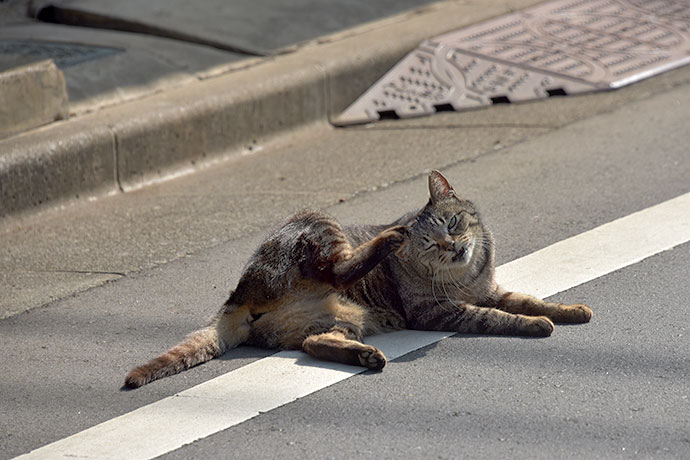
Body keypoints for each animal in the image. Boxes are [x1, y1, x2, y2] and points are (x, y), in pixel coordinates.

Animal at [125, 171, 592, 386]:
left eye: (454, 221)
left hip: (342, 318)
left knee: (314, 344)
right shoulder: (439, 313)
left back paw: (365, 356)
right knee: (341, 268)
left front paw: (570, 309)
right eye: (431, 244)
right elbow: (499, 318)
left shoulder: (492, 289)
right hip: (319, 223)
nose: (454, 245)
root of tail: (233, 297)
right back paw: (388, 238)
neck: (467, 276)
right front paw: (537, 325)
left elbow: (528, 300)